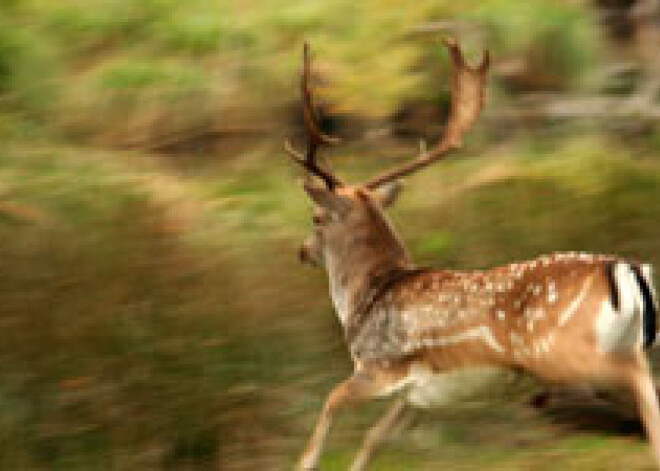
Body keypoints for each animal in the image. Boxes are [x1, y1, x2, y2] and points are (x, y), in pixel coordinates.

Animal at [284, 38, 660, 470]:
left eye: (316, 218)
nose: (302, 251)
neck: (363, 299)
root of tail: (626, 269)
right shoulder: (417, 394)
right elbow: (373, 439)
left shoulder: (380, 366)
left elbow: (329, 404)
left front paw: (305, 462)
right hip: (619, 342)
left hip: (561, 349)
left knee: (637, 379)